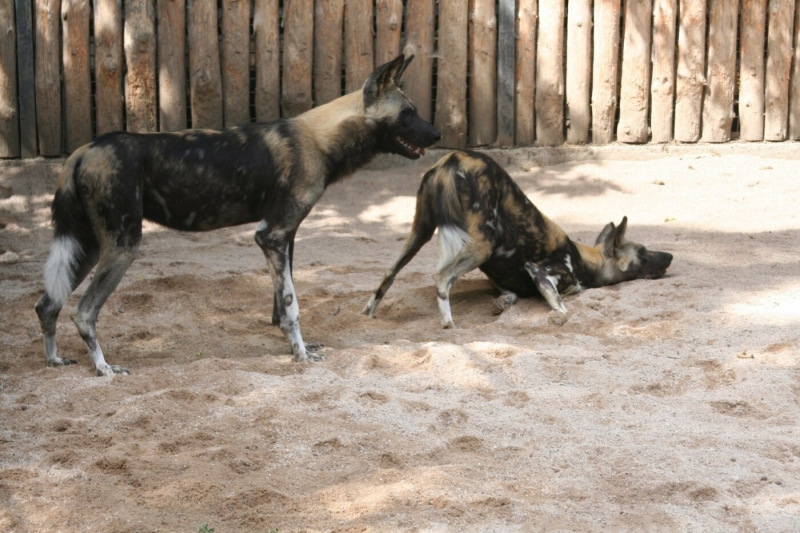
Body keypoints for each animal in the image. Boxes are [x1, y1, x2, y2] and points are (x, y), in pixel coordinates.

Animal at [34, 54, 440, 374]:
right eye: (408, 113)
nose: (437, 134)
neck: (322, 140)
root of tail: (86, 148)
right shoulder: (271, 237)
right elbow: (292, 306)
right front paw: (301, 355)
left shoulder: (284, 238)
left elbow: (281, 306)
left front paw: (295, 347)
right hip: (122, 246)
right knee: (83, 312)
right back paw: (104, 368)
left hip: (89, 247)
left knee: (47, 305)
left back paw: (54, 361)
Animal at [364, 148, 676, 326]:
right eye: (643, 252)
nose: (671, 255)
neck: (586, 261)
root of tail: (455, 157)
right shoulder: (540, 270)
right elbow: (565, 305)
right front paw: (557, 316)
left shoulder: (502, 281)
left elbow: (511, 296)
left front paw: (502, 305)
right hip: (481, 246)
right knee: (441, 278)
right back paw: (447, 323)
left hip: (421, 231)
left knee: (388, 274)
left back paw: (368, 315)